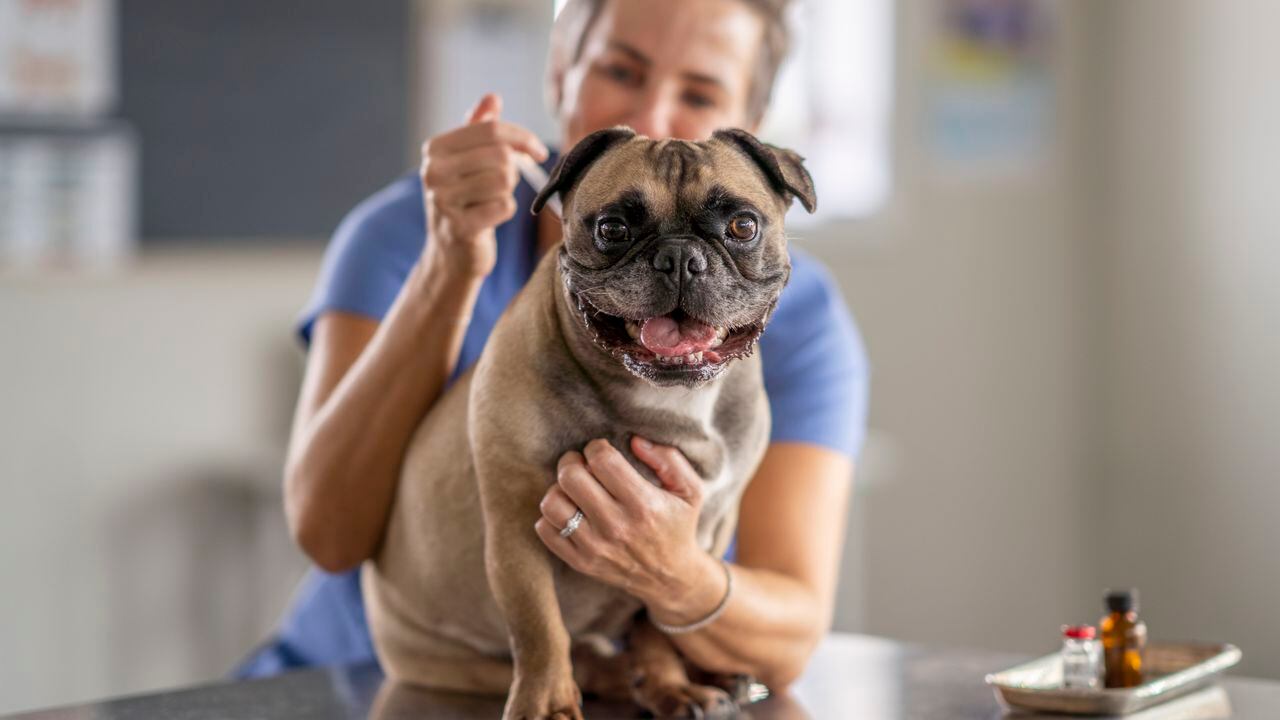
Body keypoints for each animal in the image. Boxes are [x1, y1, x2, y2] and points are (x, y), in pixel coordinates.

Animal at [366, 126, 814, 712]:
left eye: (743, 226)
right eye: (612, 228)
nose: (678, 257)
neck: (665, 396)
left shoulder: (692, 545)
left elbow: (659, 623)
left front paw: (671, 686)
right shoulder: (516, 532)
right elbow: (539, 628)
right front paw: (546, 706)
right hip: (455, 659)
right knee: (580, 658)